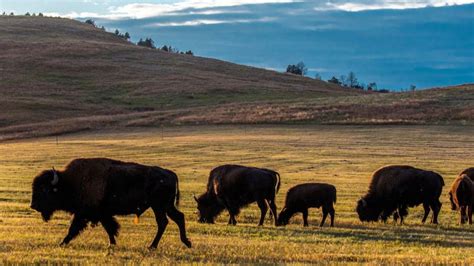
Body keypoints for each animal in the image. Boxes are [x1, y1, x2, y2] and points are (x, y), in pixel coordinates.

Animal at [30, 157, 191, 248]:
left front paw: (62, 243)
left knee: (163, 222)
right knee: (178, 217)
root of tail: (170, 173)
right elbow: (109, 228)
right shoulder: (102, 214)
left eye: (44, 189)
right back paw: (186, 242)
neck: (70, 182)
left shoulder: (84, 214)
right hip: (166, 206)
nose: (33, 205)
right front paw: (112, 244)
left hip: (158, 206)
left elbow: (73, 229)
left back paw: (152, 246)